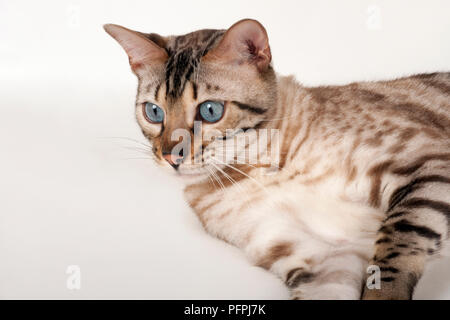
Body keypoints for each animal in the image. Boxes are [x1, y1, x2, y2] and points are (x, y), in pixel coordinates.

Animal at [103, 18, 450, 298]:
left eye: (211, 110)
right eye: (154, 112)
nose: (170, 157)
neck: (263, 169)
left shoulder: (428, 162)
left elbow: (394, 252)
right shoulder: (319, 256)